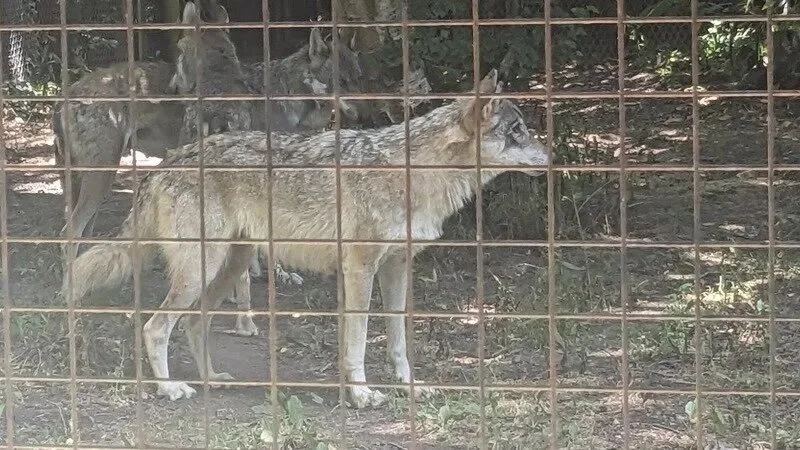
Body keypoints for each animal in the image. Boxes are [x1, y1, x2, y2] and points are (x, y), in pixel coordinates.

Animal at [65, 68, 548, 408]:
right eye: (518, 131)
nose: (552, 154)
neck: (415, 175)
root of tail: (167, 162)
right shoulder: (360, 270)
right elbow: (358, 340)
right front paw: (360, 395)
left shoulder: (396, 268)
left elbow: (397, 340)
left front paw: (409, 386)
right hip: (200, 271)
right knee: (154, 326)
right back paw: (171, 390)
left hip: (226, 269)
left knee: (193, 323)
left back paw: (211, 380)